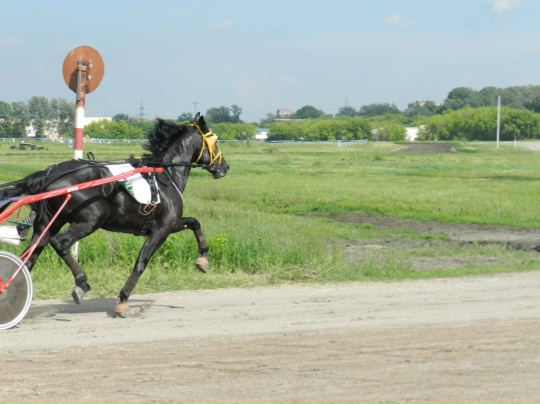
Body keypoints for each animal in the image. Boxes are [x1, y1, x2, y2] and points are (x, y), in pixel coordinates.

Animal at [0, 113, 229, 316]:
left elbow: (194, 222)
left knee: (30, 256)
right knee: (59, 242)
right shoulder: (161, 229)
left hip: (48, 223)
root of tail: (48, 174)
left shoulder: (170, 224)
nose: (225, 167)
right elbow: (141, 263)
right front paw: (123, 300)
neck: (165, 176)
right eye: (215, 141)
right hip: (94, 217)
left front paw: (203, 260)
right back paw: (81, 283)